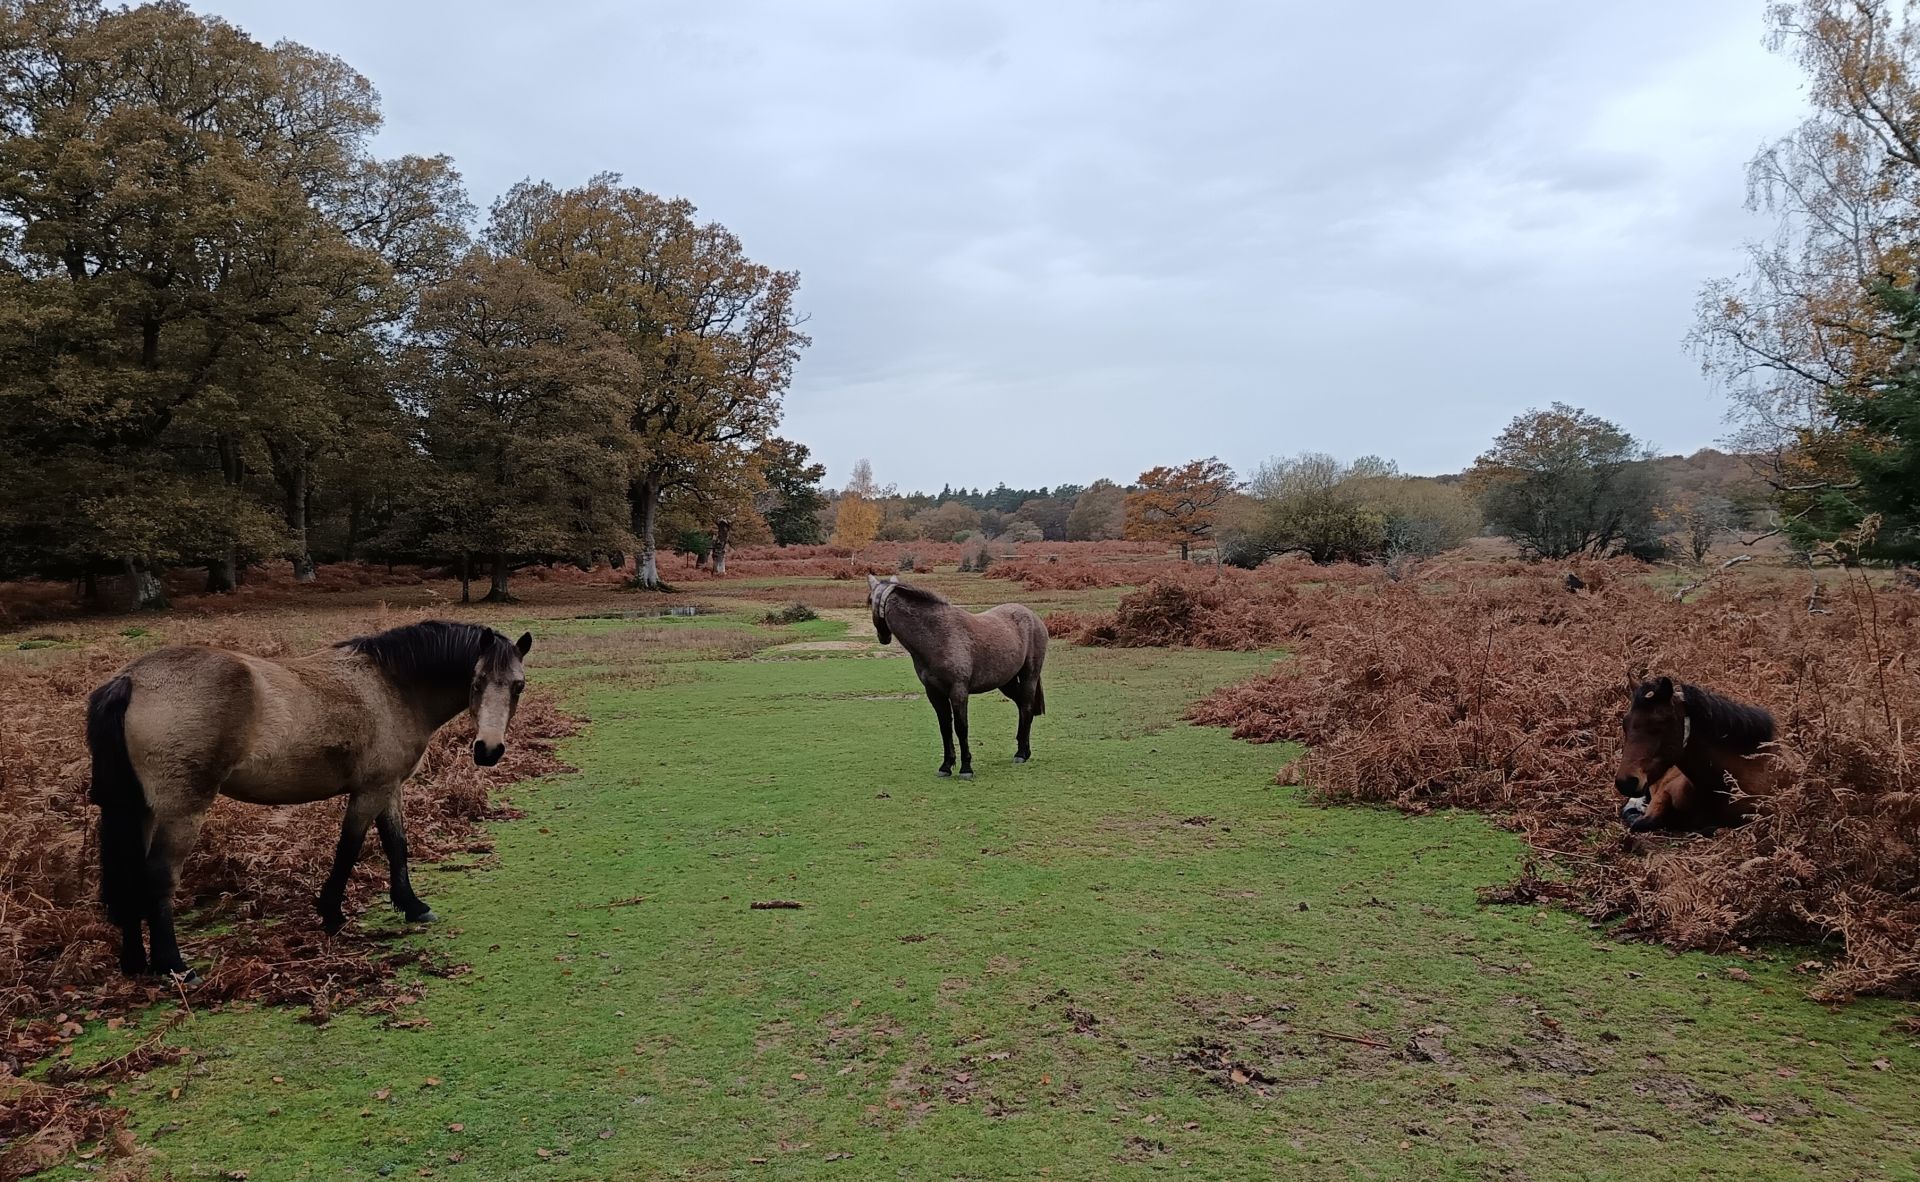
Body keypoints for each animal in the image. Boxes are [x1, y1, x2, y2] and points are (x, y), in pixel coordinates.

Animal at [86, 620, 533, 979]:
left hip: (138, 809)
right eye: (476, 682)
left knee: (128, 874)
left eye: (518, 685)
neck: (391, 686)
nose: (488, 750)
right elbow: (349, 848)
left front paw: (411, 905)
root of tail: (131, 680)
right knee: (159, 876)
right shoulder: (370, 791)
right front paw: (332, 913)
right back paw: (173, 966)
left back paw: (135, 963)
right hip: (181, 812)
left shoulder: (389, 788)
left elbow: (396, 845)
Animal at [867, 574, 1047, 779]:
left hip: (1029, 677)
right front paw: (946, 766)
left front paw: (966, 768)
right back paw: (1023, 749)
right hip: (1007, 682)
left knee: (1026, 707)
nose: (883, 637)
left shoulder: (958, 691)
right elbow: (945, 728)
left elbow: (961, 728)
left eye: (869, 600)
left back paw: (1021, 754)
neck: (937, 636)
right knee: (1022, 706)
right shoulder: (934, 693)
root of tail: (1032, 616)